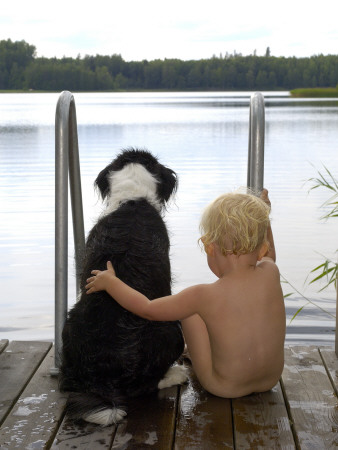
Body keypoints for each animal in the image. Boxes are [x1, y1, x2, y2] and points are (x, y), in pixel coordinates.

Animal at [59, 149, 186, 428]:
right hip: (170, 328)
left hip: (70, 322)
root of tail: (103, 372)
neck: (132, 200)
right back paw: (175, 374)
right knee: (144, 386)